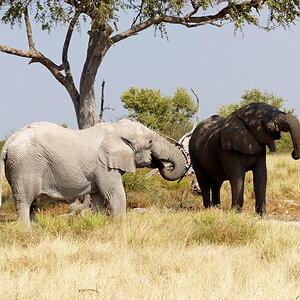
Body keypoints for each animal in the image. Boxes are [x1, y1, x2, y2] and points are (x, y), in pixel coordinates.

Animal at [0, 120, 188, 226]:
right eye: (150, 142)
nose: (160, 162)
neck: (115, 129)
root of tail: (9, 142)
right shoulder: (104, 167)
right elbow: (115, 194)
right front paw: (119, 227)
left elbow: (98, 197)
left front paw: (97, 223)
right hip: (25, 166)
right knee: (25, 201)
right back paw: (26, 231)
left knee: (31, 204)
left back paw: (36, 229)